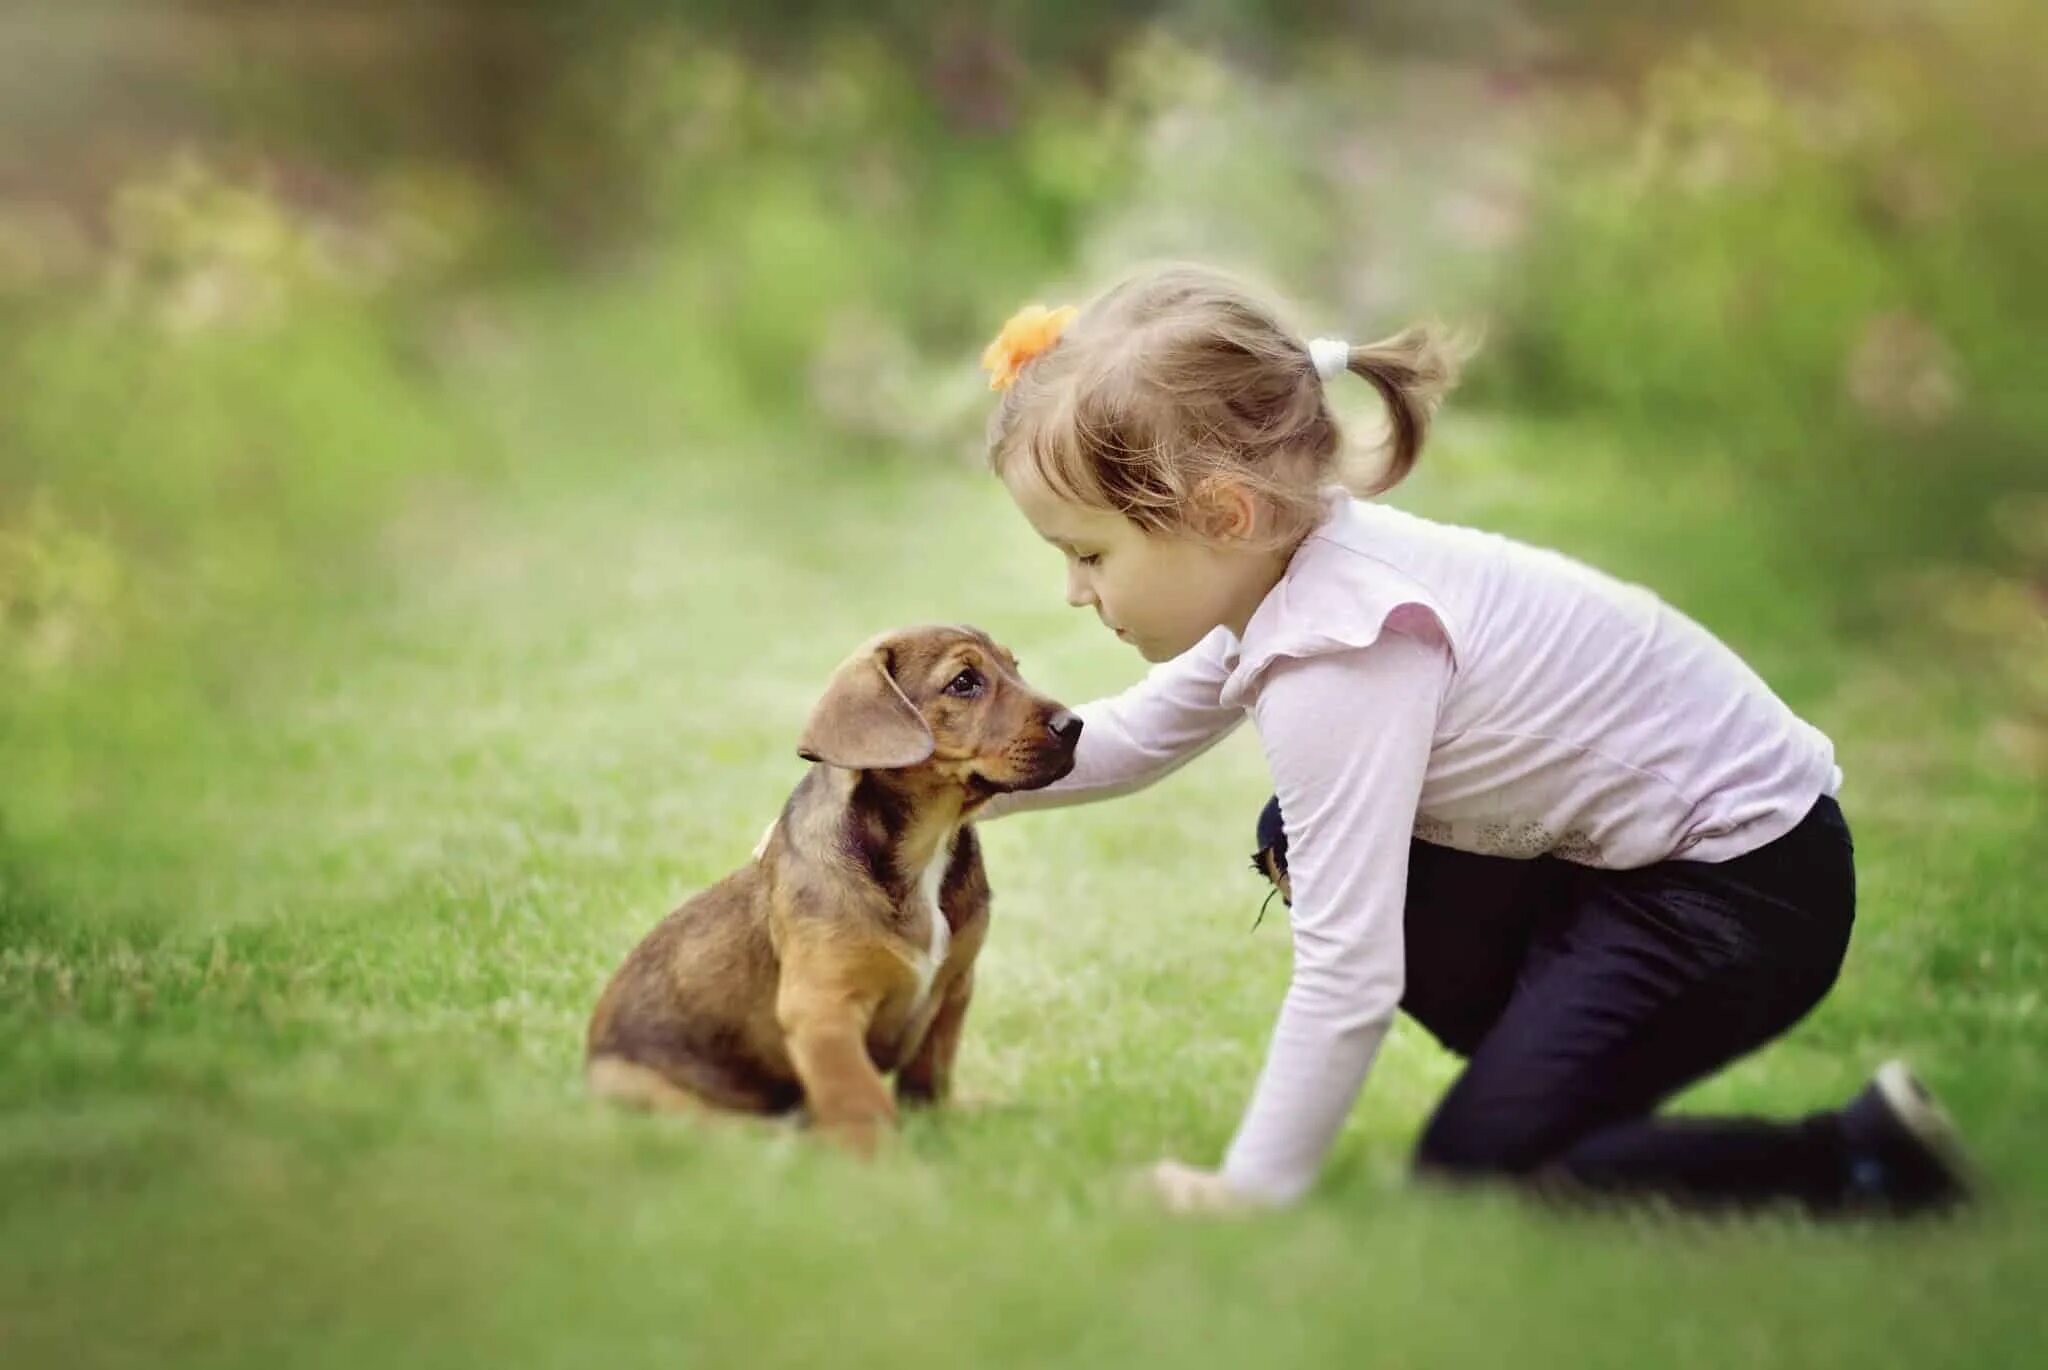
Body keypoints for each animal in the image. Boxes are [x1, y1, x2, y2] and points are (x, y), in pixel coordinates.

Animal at [585, 626, 1081, 1146]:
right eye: (964, 682)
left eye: (1014, 667)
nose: (1075, 725)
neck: (927, 847)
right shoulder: (823, 1011)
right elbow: (864, 1105)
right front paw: (892, 1163)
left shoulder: (954, 990)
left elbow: (928, 1079)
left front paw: (939, 1131)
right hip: (647, 1089)